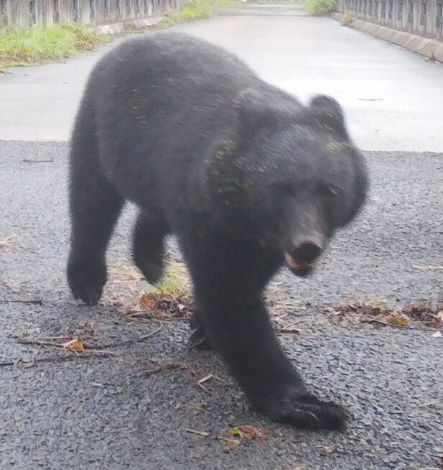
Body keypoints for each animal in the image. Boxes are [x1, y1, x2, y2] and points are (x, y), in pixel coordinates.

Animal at [68, 31, 368, 432]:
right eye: (279, 189)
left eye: (331, 190)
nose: (307, 246)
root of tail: (130, 41)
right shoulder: (206, 209)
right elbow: (230, 294)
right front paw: (308, 405)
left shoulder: (259, 237)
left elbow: (248, 278)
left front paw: (200, 328)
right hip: (100, 127)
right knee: (91, 200)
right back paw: (87, 279)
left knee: (150, 211)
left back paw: (150, 260)